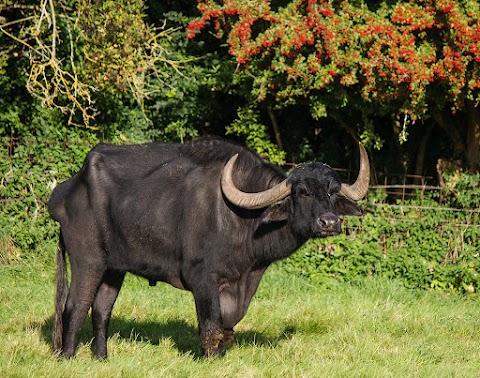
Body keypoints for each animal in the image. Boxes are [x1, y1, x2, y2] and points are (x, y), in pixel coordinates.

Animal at [48, 138, 370, 358]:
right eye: (302, 192)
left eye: (332, 192)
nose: (329, 222)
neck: (243, 221)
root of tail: (64, 193)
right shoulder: (202, 279)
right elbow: (211, 324)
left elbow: (228, 324)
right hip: (88, 260)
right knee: (75, 306)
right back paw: (68, 357)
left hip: (114, 268)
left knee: (101, 309)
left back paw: (101, 358)